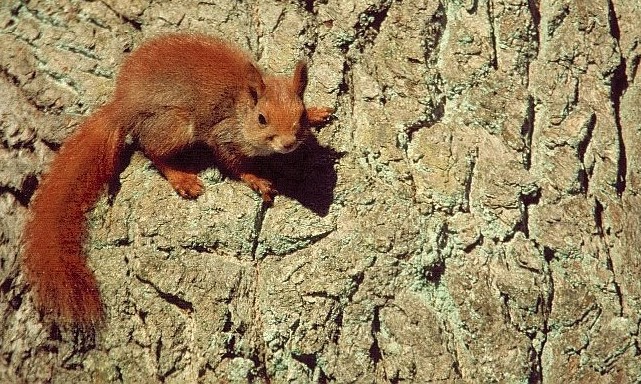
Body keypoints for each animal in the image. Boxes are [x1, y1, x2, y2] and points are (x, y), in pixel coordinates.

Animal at [21, 33, 330, 328]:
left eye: (300, 114)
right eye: (262, 118)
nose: (288, 144)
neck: (241, 107)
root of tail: (123, 105)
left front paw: (318, 113)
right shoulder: (222, 136)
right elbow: (233, 164)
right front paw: (256, 179)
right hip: (175, 125)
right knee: (152, 151)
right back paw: (181, 178)